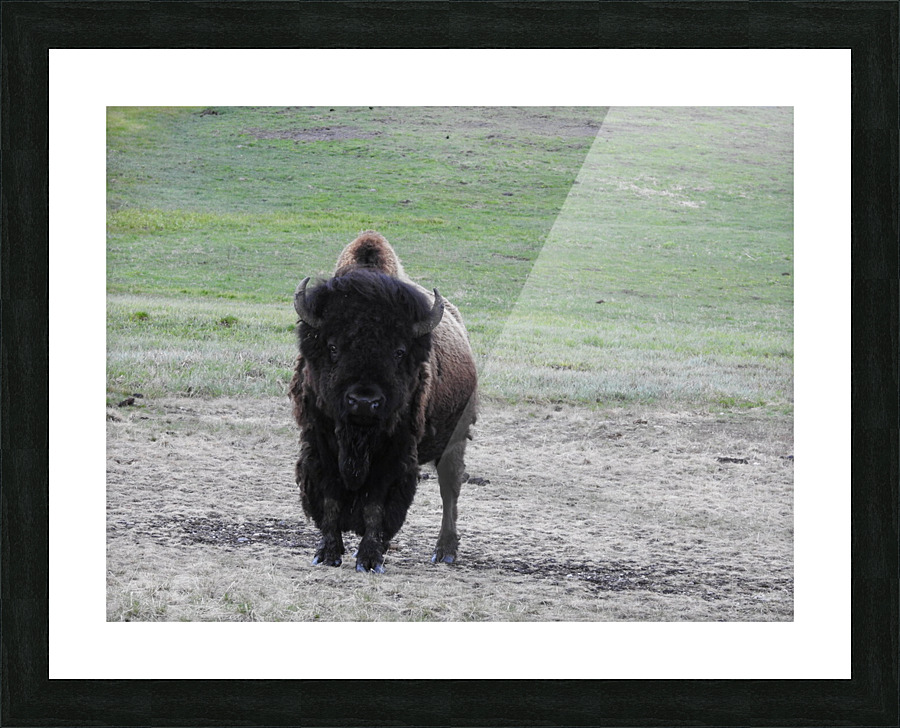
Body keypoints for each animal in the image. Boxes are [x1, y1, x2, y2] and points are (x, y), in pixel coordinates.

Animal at [289, 232, 478, 573]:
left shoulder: (395, 452)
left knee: (450, 491)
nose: (364, 401)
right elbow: (330, 499)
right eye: (333, 346)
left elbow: (377, 505)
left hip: (454, 441)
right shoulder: (320, 443)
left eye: (399, 351)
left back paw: (445, 551)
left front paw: (369, 559)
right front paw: (328, 554)